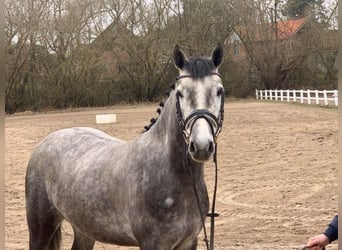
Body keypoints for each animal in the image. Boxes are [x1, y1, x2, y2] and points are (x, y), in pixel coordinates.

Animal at [25, 44, 226, 249]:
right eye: (180, 93)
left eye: (219, 91)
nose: (201, 145)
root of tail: (45, 143)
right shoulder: (152, 243)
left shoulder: (189, 241)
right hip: (41, 227)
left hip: (84, 228)